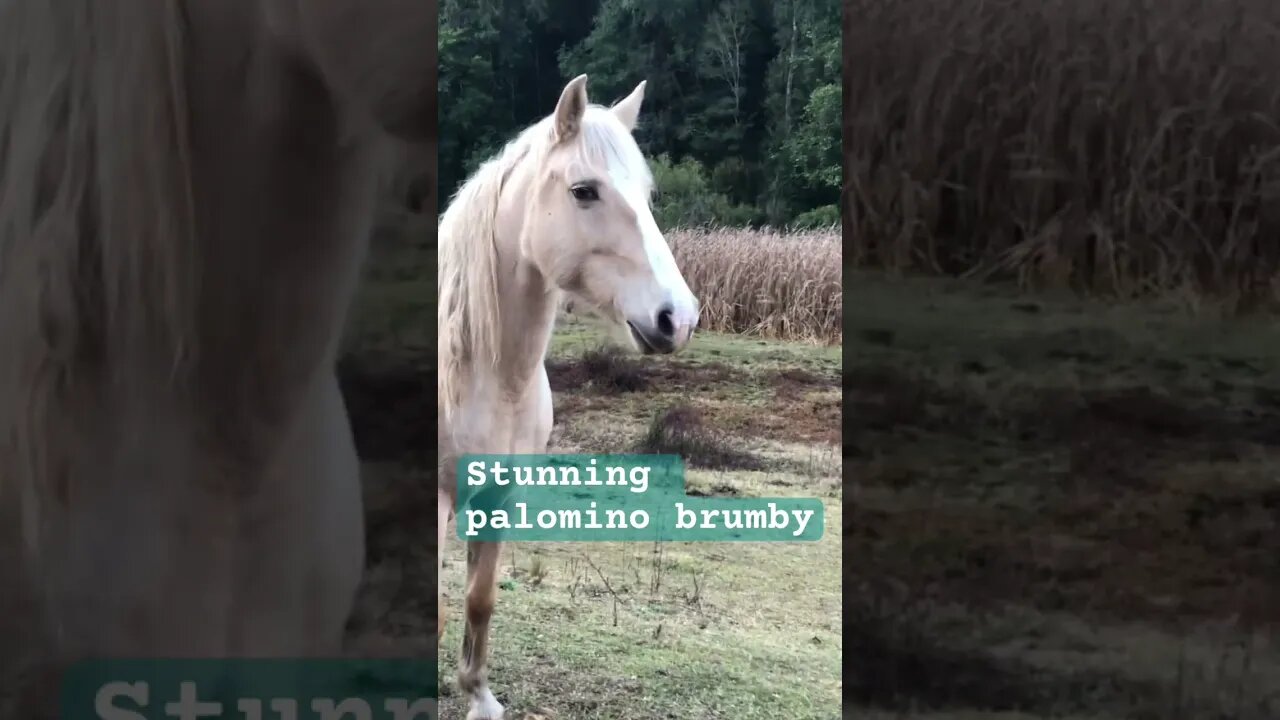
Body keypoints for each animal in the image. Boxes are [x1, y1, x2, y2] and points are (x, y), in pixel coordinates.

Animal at [437, 75, 701, 712]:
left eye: (648, 194)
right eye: (584, 191)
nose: (678, 319)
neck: (488, 372)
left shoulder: (498, 496)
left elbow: (480, 597)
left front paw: (478, 694)